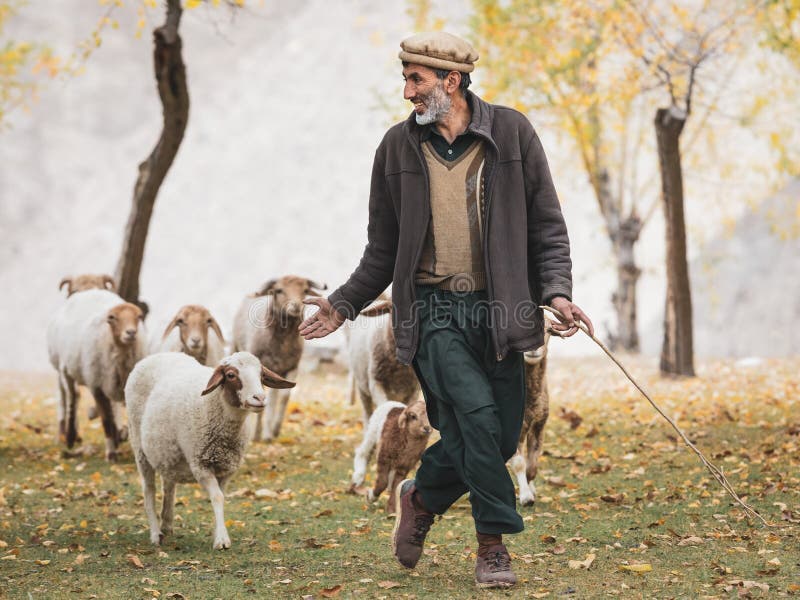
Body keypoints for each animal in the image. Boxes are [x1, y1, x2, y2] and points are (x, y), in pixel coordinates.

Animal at [46, 288, 147, 462]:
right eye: (112, 318)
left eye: (139, 316)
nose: (131, 333)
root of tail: (89, 291)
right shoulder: (96, 387)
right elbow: (105, 420)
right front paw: (111, 453)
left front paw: (120, 437)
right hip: (66, 370)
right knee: (73, 397)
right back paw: (71, 436)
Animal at [122, 352, 290, 552]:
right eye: (231, 375)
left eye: (261, 375)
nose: (260, 398)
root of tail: (156, 355)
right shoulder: (200, 464)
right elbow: (217, 497)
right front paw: (222, 540)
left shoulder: (227, 468)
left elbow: (221, 496)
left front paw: (218, 532)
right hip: (140, 448)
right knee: (149, 491)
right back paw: (156, 534)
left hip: (166, 454)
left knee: (168, 487)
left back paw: (167, 525)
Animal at [233, 276, 326, 440]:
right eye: (279, 290)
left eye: (305, 290)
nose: (296, 306)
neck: (281, 347)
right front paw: (256, 435)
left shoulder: (292, 367)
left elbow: (284, 396)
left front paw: (274, 430)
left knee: (274, 397)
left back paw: (268, 432)